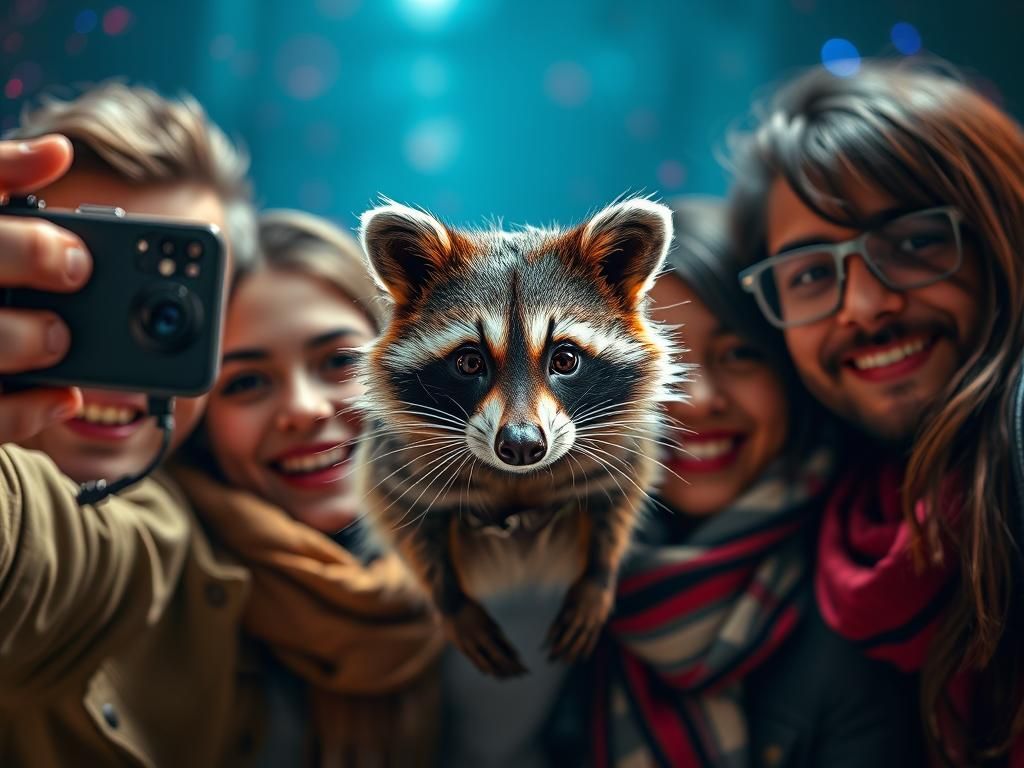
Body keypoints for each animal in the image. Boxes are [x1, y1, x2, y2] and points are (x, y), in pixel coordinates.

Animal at [353, 198, 683, 677]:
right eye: (469, 362)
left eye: (565, 359)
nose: (523, 445)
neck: (519, 480)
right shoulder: (393, 459)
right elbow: (402, 515)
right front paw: (452, 602)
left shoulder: (625, 446)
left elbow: (617, 499)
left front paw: (597, 578)